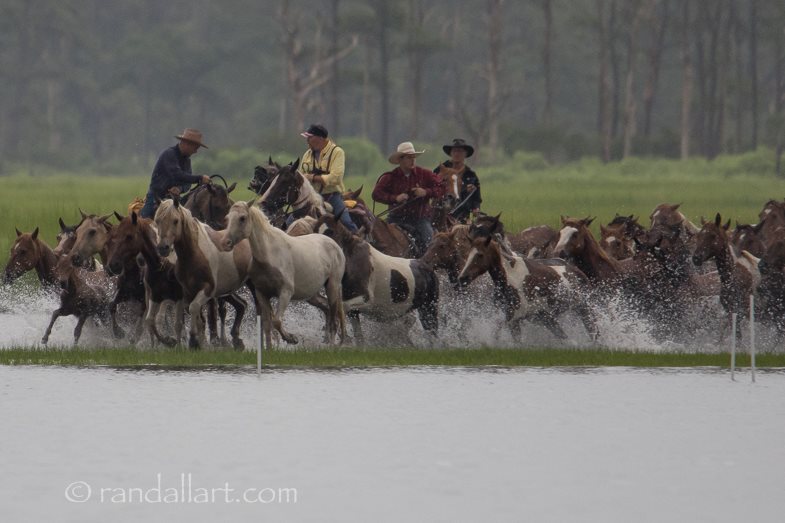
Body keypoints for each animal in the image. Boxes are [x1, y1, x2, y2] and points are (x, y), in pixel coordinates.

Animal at [152, 199, 253, 350]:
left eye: (175, 220)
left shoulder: (207, 289)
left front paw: (194, 341)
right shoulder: (187, 292)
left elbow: (194, 309)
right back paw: (236, 340)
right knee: (242, 305)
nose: (163, 248)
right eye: (157, 220)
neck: (193, 254)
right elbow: (196, 317)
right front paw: (199, 343)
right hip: (227, 291)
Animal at [219, 201, 344, 348]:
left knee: (335, 320)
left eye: (242, 218)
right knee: (327, 311)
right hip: (313, 294)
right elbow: (267, 325)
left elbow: (277, 321)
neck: (269, 255)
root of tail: (335, 245)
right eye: (227, 218)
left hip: (332, 287)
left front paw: (291, 338)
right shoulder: (262, 294)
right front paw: (270, 348)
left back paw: (332, 345)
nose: (225, 243)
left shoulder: (285, 292)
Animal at [456, 215, 596, 342]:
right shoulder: (513, 321)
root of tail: (578, 271)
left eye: (480, 255)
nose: (462, 278)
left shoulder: (529, 318)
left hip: (584, 310)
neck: (511, 277)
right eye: (469, 253)